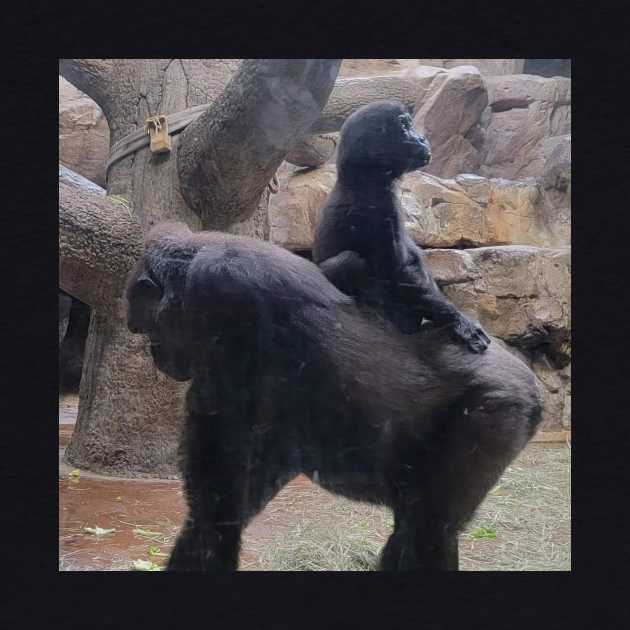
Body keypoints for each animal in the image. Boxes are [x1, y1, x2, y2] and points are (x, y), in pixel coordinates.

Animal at [124, 223, 544, 572]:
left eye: (147, 329)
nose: (156, 355)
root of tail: (532, 382)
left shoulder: (224, 297)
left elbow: (216, 509)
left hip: (498, 410)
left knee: (430, 529)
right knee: (413, 526)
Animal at [316, 101, 494, 354]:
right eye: (404, 126)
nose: (421, 138)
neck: (364, 176)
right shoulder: (377, 207)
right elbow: (398, 271)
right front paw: (459, 321)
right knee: (347, 260)